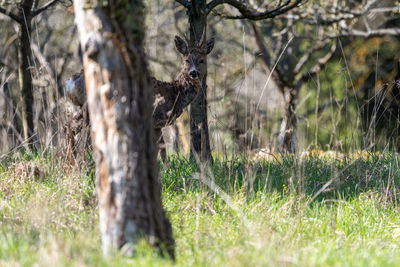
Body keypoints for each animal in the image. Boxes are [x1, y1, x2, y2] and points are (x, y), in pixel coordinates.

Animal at [65, 31, 214, 161]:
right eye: (187, 60)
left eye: (202, 60)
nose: (194, 73)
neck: (174, 92)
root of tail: (70, 82)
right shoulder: (155, 117)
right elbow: (160, 149)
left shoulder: (157, 124)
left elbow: (163, 150)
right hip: (91, 107)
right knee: (81, 134)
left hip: (79, 108)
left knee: (70, 126)